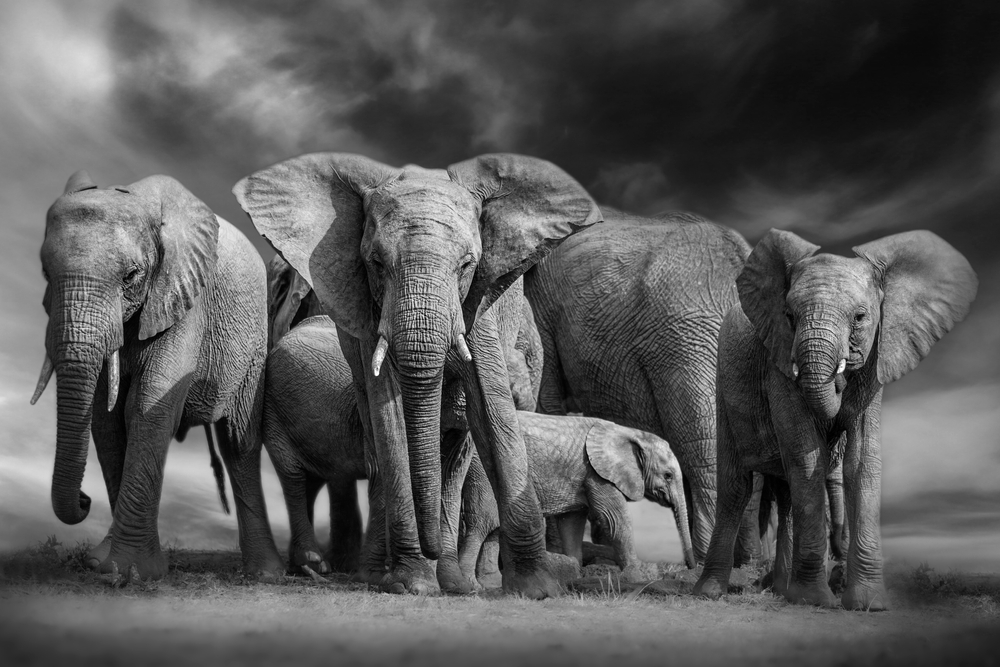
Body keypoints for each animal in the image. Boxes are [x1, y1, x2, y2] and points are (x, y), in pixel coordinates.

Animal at [32, 171, 283, 581]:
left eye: (131, 276)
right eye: (44, 273)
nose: (84, 499)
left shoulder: (185, 298)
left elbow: (147, 405)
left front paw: (130, 571)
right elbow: (105, 420)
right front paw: (102, 564)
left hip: (255, 345)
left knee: (238, 442)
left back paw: (266, 574)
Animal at [237, 153, 601, 598]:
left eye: (467, 265)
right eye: (376, 264)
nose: (429, 550)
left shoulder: (477, 303)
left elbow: (490, 408)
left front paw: (535, 588)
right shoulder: (367, 315)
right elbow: (390, 417)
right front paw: (412, 582)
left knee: (456, 449)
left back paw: (451, 578)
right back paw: (375, 573)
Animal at [458, 412, 697, 587]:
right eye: (668, 475)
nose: (691, 568)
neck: (629, 432)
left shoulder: (582, 475)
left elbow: (571, 524)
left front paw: (574, 574)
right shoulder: (598, 473)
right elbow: (615, 519)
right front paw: (635, 578)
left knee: (495, 525)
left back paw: (491, 583)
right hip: (484, 470)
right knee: (484, 523)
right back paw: (470, 585)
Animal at [692, 229, 977, 610]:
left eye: (859, 317)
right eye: (789, 316)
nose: (838, 384)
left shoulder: (877, 359)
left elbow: (862, 462)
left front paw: (869, 604)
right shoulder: (778, 360)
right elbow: (806, 456)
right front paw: (815, 600)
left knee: (786, 494)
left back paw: (781, 591)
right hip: (723, 385)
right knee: (736, 486)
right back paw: (710, 592)